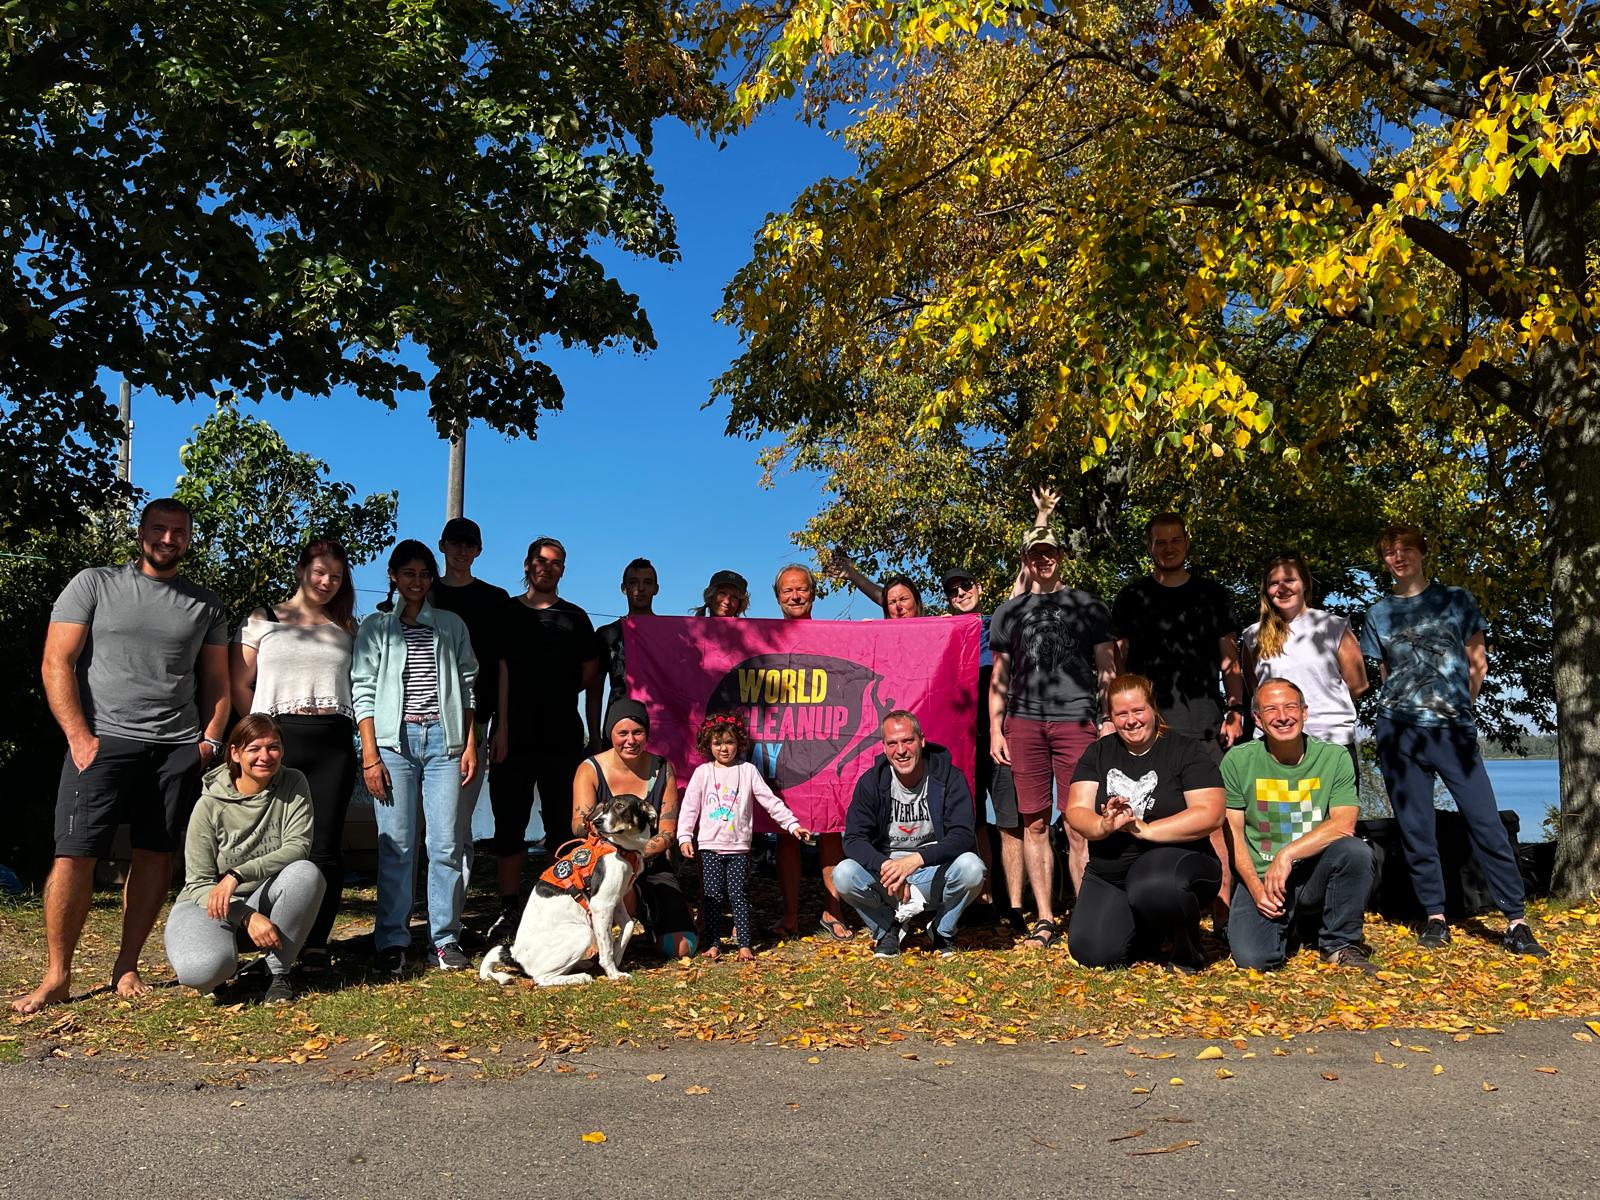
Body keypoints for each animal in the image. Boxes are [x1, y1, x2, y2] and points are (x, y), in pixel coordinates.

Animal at [473, 800, 656, 985]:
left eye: (620, 805)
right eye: (604, 808)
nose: (597, 822)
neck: (619, 846)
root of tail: (515, 955)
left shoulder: (615, 900)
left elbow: (629, 926)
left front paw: (618, 955)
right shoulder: (602, 906)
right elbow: (606, 949)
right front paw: (614, 974)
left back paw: (581, 965)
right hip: (584, 932)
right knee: (541, 978)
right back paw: (579, 977)